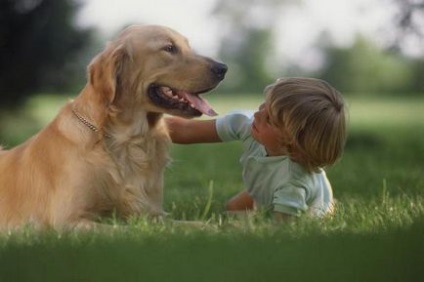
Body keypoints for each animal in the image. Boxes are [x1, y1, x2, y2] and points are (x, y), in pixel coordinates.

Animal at [0, 25, 227, 230]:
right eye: (169, 48)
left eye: (187, 46)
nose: (223, 68)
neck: (128, 141)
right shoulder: (67, 220)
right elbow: (125, 229)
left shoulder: (154, 213)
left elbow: (198, 225)